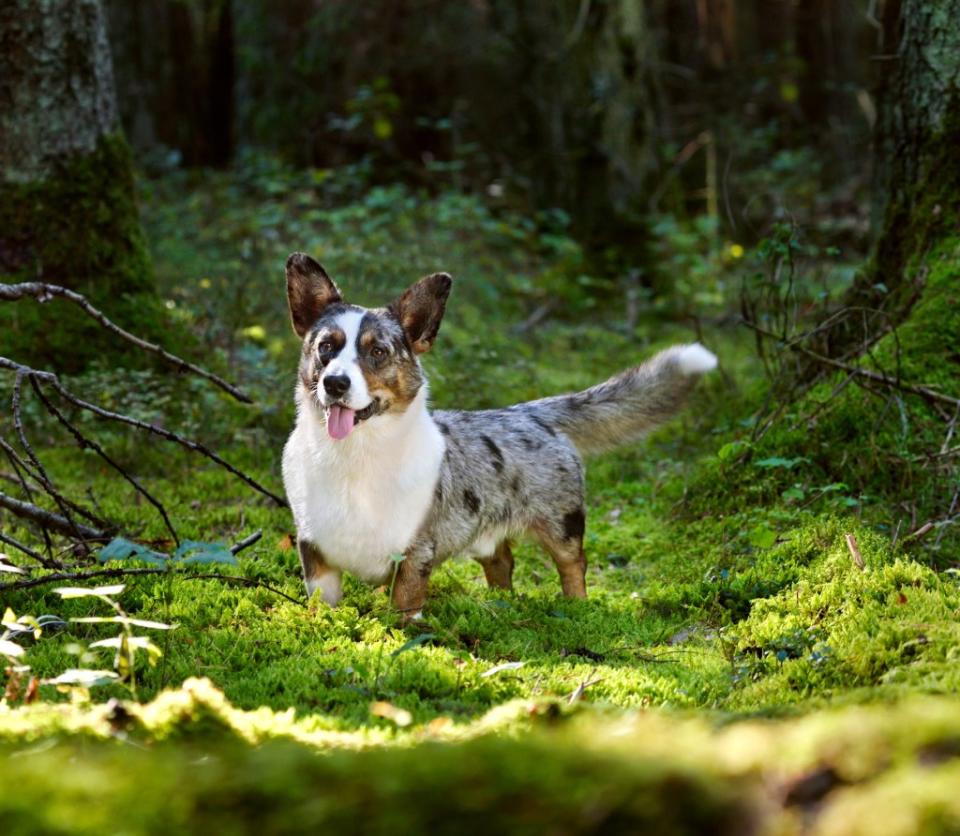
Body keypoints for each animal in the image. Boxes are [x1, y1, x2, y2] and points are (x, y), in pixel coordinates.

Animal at [282, 251, 716, 616]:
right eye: (326, 347)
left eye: (377, 353)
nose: (335, 383)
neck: (354, 456)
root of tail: (532, 411)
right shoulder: (313, 549)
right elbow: (323, 598)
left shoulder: (416, 549)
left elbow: (404, 602)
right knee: (502, 560)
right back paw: (500, 603)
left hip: (562, 522)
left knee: (573, 563)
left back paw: (576, 607)